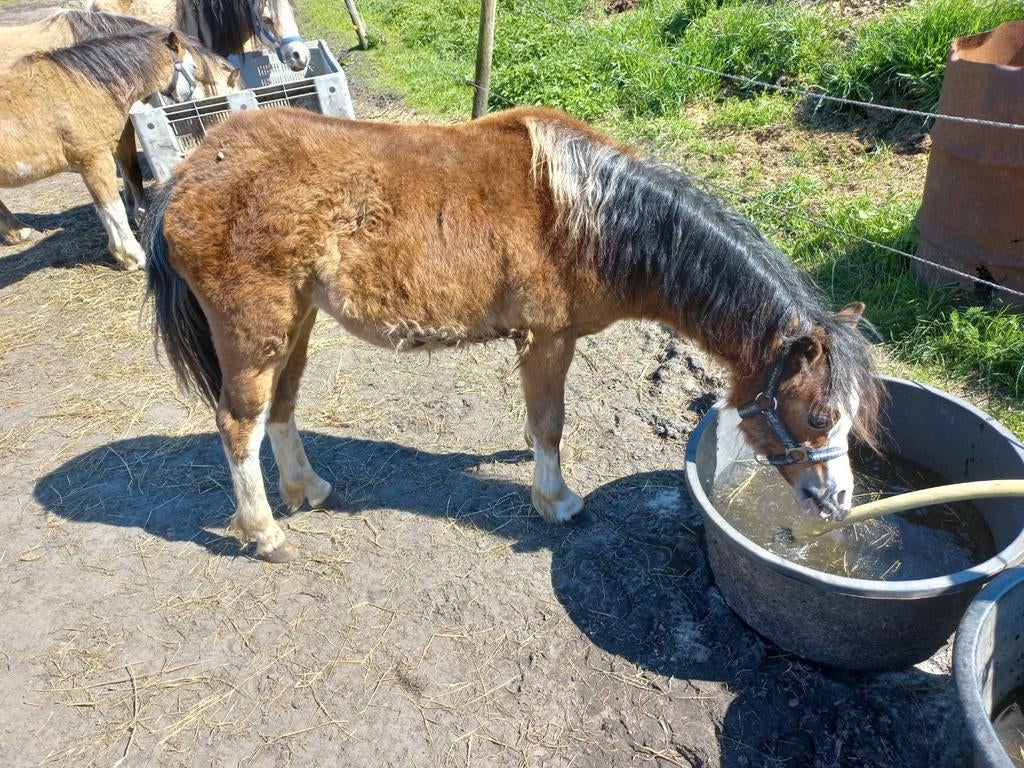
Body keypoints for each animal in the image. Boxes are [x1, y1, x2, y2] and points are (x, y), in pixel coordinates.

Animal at [0, 31, 209, 268]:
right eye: (193, 66)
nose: (200, 101)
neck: (82, 87)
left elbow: (129, 178)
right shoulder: (94, 160)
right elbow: (112, 208)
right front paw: (134, 255)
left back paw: (21, 232)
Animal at [143, 106, 883, 563]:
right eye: (819, 415)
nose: (839, 500)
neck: (594, 217)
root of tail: (190, 169)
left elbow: (537, 420)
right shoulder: (549, 340)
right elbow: (553, 423)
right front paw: (555, 500)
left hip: (296, 322)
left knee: (282, 407)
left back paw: (308, 490)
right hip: (255, 330)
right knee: (239, 423)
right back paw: (265, 533)